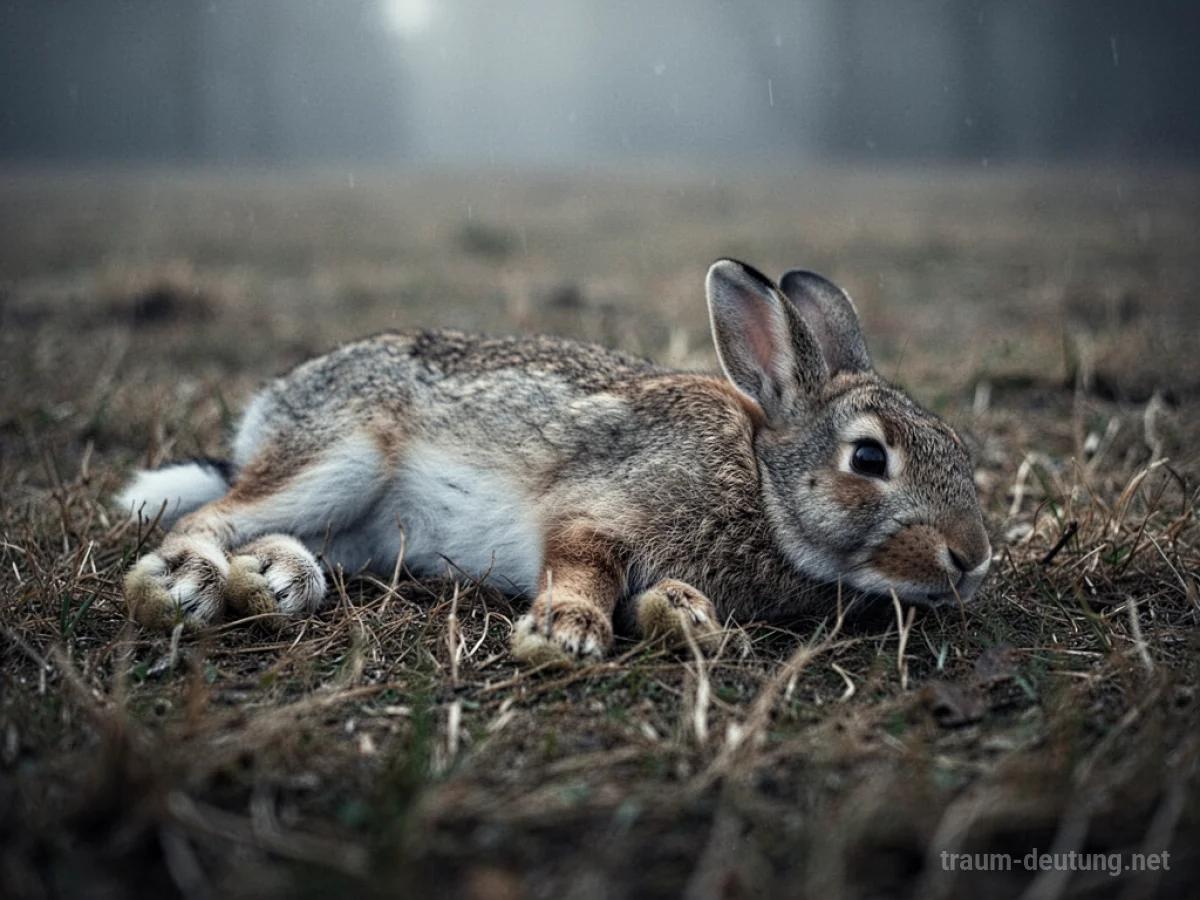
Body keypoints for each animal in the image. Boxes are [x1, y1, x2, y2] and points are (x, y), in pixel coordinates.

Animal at [116, 259, 991, 665]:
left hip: (356, 524)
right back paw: (189, 584)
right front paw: (566, 631)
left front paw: (686, 619)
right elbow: (584, 565)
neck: (764, 491)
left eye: (955, 446)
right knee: (208, 517)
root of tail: (269, 410)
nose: (974, 560)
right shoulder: (594, 510)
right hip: (340, 458)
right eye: (869, 457)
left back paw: (279, 581)